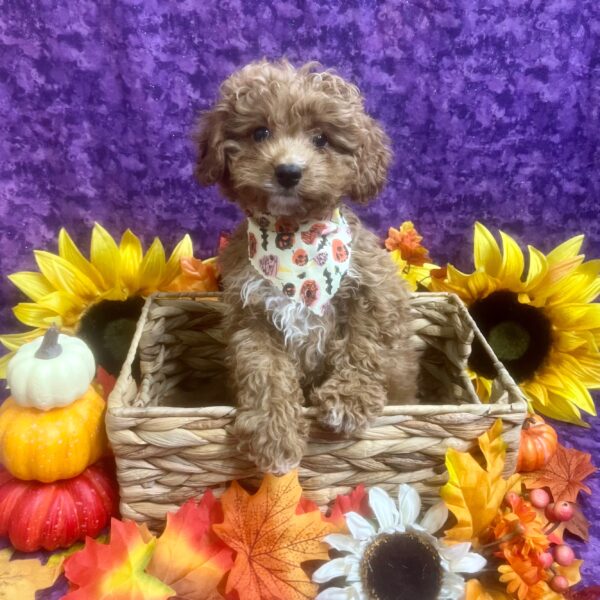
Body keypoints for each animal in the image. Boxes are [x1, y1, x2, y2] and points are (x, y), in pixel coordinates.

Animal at [196, 59, 418, 474]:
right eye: (260, 132)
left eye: (321, 139)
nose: (288, 171)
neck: (292, 238)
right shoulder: (250, 316)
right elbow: (264, 369)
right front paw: (273, 432)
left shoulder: (376, 291)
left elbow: (365, 344)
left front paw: (349, 399)